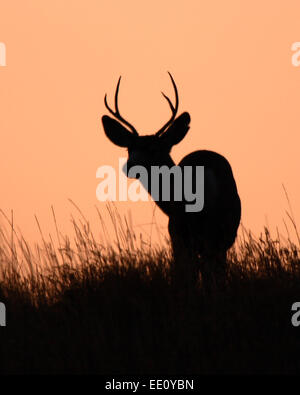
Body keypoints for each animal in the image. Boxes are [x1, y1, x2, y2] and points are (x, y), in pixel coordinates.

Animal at [101, 73, 241, 290]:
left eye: (154, 149)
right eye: (129, 148)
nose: (130, 165)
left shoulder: (178, 235)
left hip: (188, 232)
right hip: (217, 233)